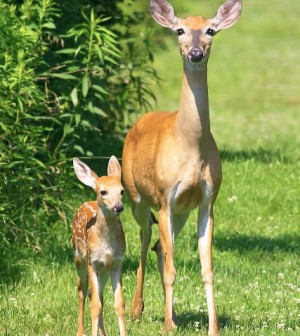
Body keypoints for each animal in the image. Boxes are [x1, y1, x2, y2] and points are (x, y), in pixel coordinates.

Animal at [122, 1, 241, 334]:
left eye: (211, 30)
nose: (196, 53)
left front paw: (213, 327)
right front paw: (165, 327)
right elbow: (172, 269)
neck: (189, 146)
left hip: (180, 213)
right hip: (136, 196)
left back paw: (171, 315)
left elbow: (207, 268)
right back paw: (138, 309)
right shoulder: (164, 198)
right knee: (145, 240)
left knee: (160, 249)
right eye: (179, 30)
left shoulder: (206, 202)